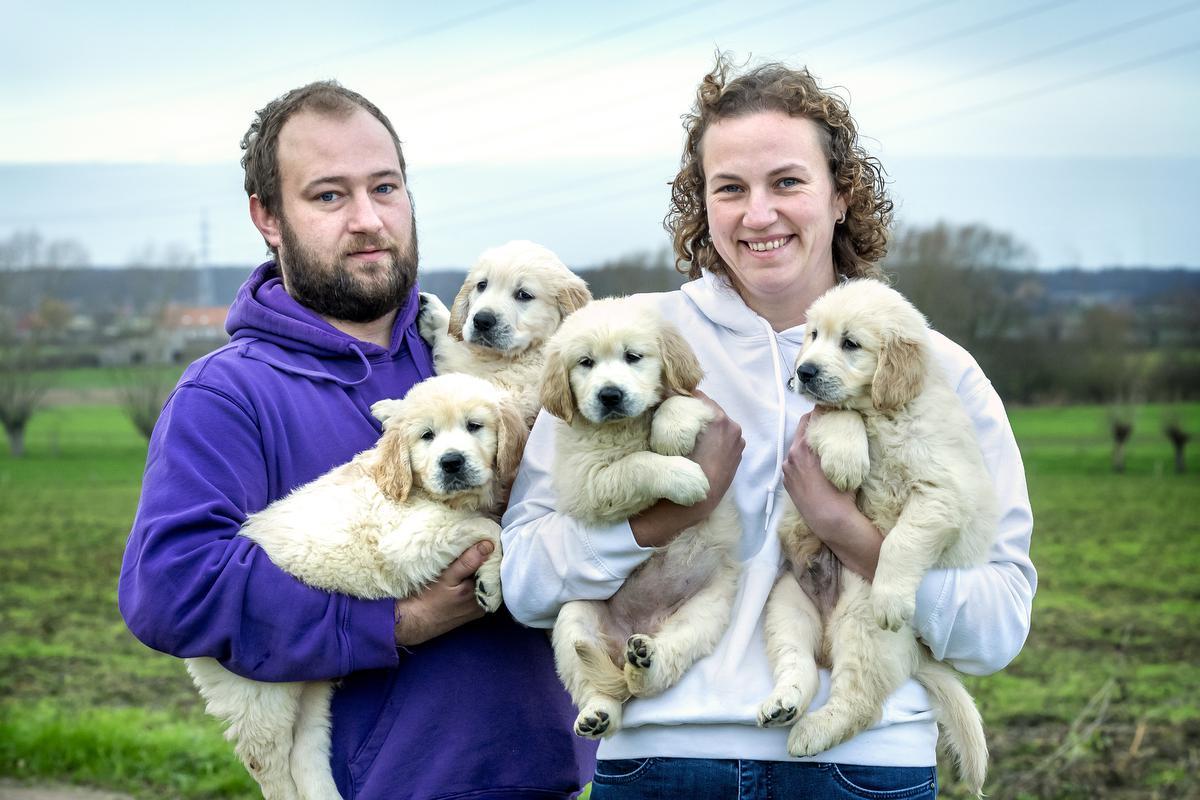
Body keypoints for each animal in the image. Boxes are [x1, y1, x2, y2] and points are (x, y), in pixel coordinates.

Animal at [183, 374, 530, 800]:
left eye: (474, 426)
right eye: (427, 436)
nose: (451, 462)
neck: (415, 489)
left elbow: (493, 525)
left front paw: (491, 578)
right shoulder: (408, 540)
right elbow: (489, 528)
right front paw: (492, 585)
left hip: (311, 684)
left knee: (306, 752)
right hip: (260, 694)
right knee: (269, 767)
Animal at [542, 298, 739, 738]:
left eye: (633, 357)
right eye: (585, 363)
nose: (610, 395)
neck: (624, 427)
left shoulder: (705, 404)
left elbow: (677, 403)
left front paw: (671, 432)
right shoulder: (586, 480)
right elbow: (636, 464)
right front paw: (683, 477)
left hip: (704, 613)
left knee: (663, 667)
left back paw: (646, 661)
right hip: (574, 619)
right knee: (599, 687)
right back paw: (598, 713)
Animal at [758, 280, 993, 796]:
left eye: (850, 343)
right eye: (813, 336)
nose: (803, 372)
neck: (884, 415)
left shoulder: (942, 493)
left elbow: (903, 539)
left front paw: (892, 596)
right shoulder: (824, 418)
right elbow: (835, 413)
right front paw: (848, 458)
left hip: (862, 627)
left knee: (859, 701)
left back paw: (812, 729)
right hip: (786, 603)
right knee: (798, 664)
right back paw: (784, 704)